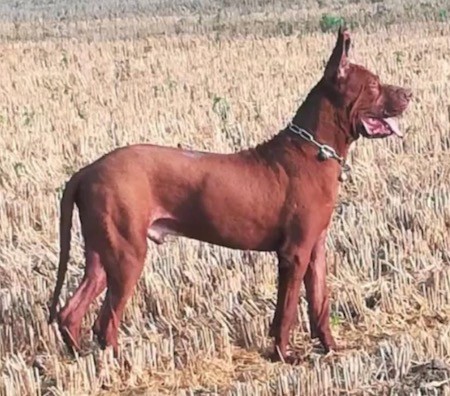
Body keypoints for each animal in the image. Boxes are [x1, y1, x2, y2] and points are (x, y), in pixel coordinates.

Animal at [48, 27, 412, 362]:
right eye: (374, 85)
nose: (409, 92)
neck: (313, 149)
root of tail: (86, 171)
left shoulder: (316, 248)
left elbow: (320, 303)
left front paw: (331, 348)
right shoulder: (293, 253)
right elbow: (286, 311)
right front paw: (283, 355)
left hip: (102, 254)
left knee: (71, 313)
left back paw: (82, 358)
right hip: (128, 256)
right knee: (105, 322)